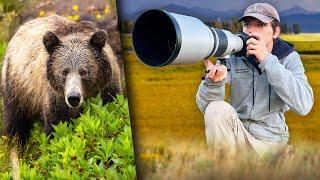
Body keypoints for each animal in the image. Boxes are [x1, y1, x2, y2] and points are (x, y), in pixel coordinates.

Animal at [2, 15, 122, 145]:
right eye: (64, 71)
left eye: (84, 71)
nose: (73, 97)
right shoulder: (57, 99)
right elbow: (57, 128)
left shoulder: (106, 89)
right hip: (18, 88)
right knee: (15, 121)